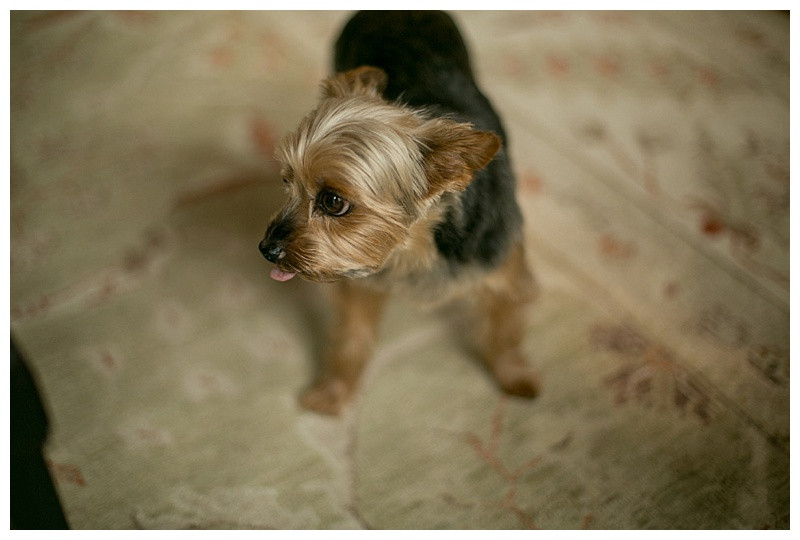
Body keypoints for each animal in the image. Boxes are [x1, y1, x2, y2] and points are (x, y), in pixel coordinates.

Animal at [260, 11, 540, 418]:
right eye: (286, 181)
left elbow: (508, 331)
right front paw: (333, 392)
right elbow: (352, 336)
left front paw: (515, 376)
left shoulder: (501, 264)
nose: (267, 249)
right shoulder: (357, 277)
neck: (413, 246)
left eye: (332, 201)